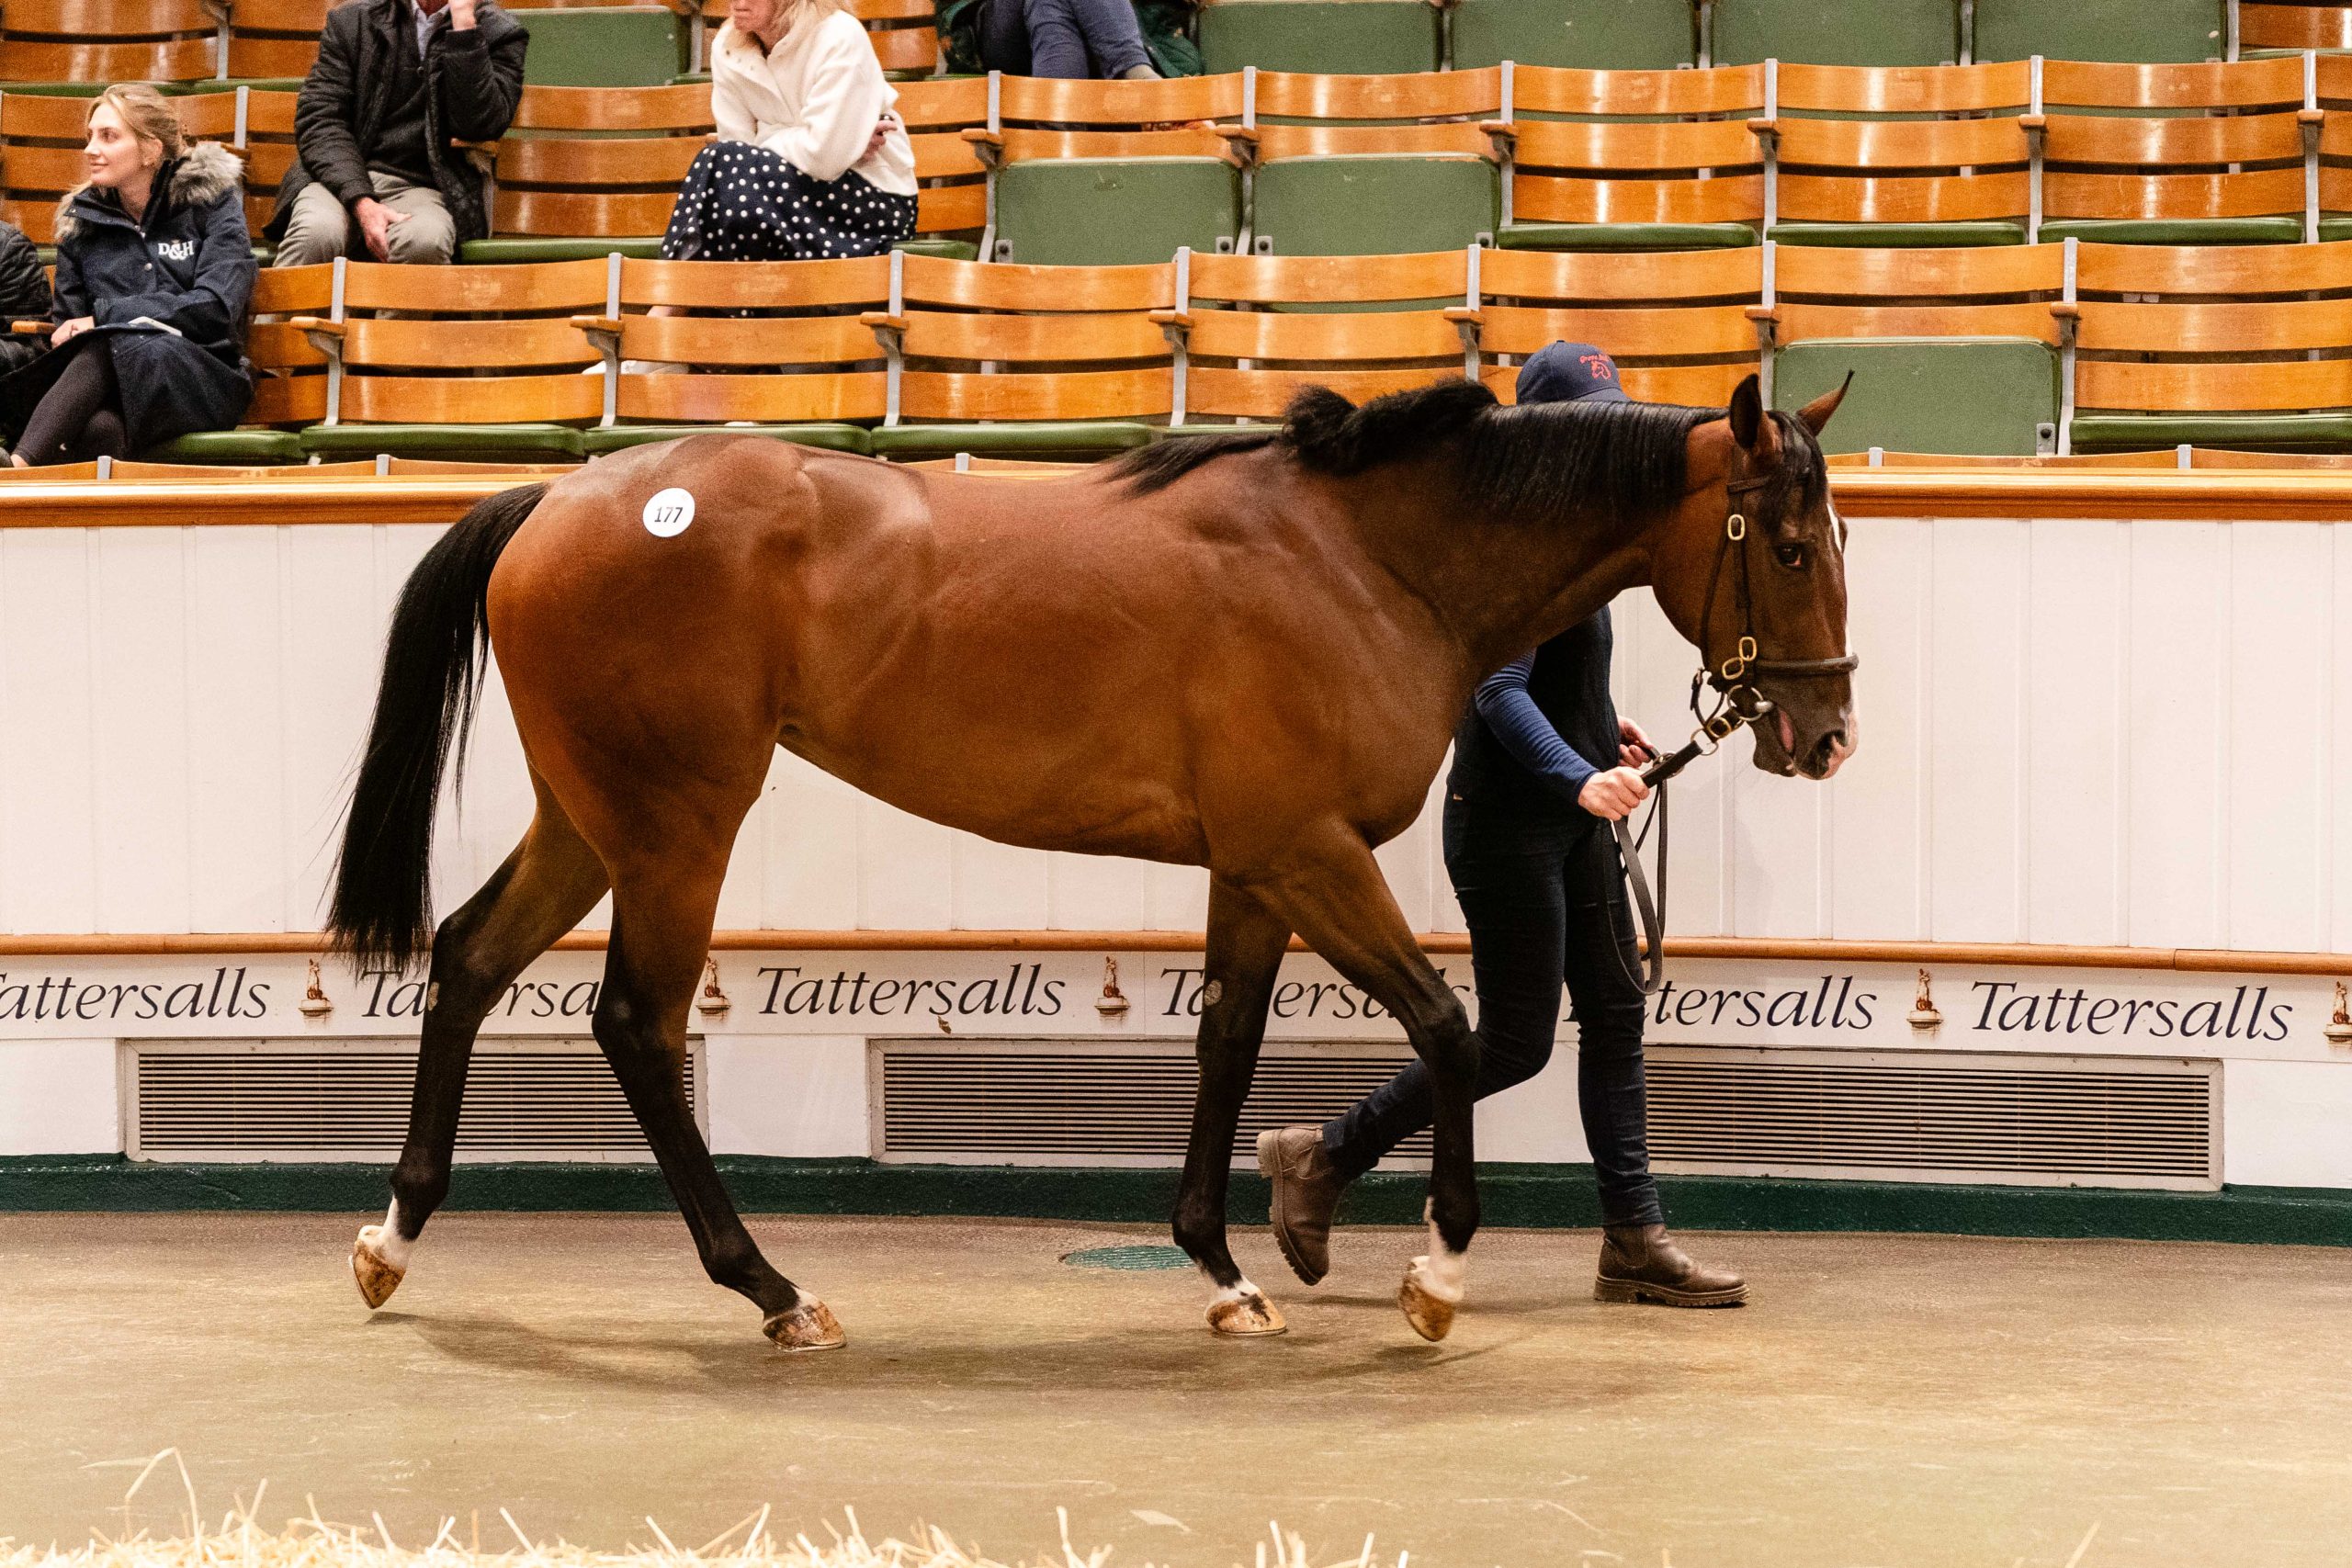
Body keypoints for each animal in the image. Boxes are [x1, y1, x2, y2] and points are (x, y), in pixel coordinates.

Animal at [328, 371, 1855, 1350]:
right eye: (1787, 543)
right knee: (637, 1024)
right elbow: (1448, 1027)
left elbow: (1230, 1044)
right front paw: (1434, 1271)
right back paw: (772, 1287)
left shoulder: (1255, 870)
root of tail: (561, 499)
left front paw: (1234, 1266)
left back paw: (394, 1240)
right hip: (678, 827)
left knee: (467, 957)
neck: (1362, 560)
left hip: (592, 821)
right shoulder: (1309, 854)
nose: (1823, 731)